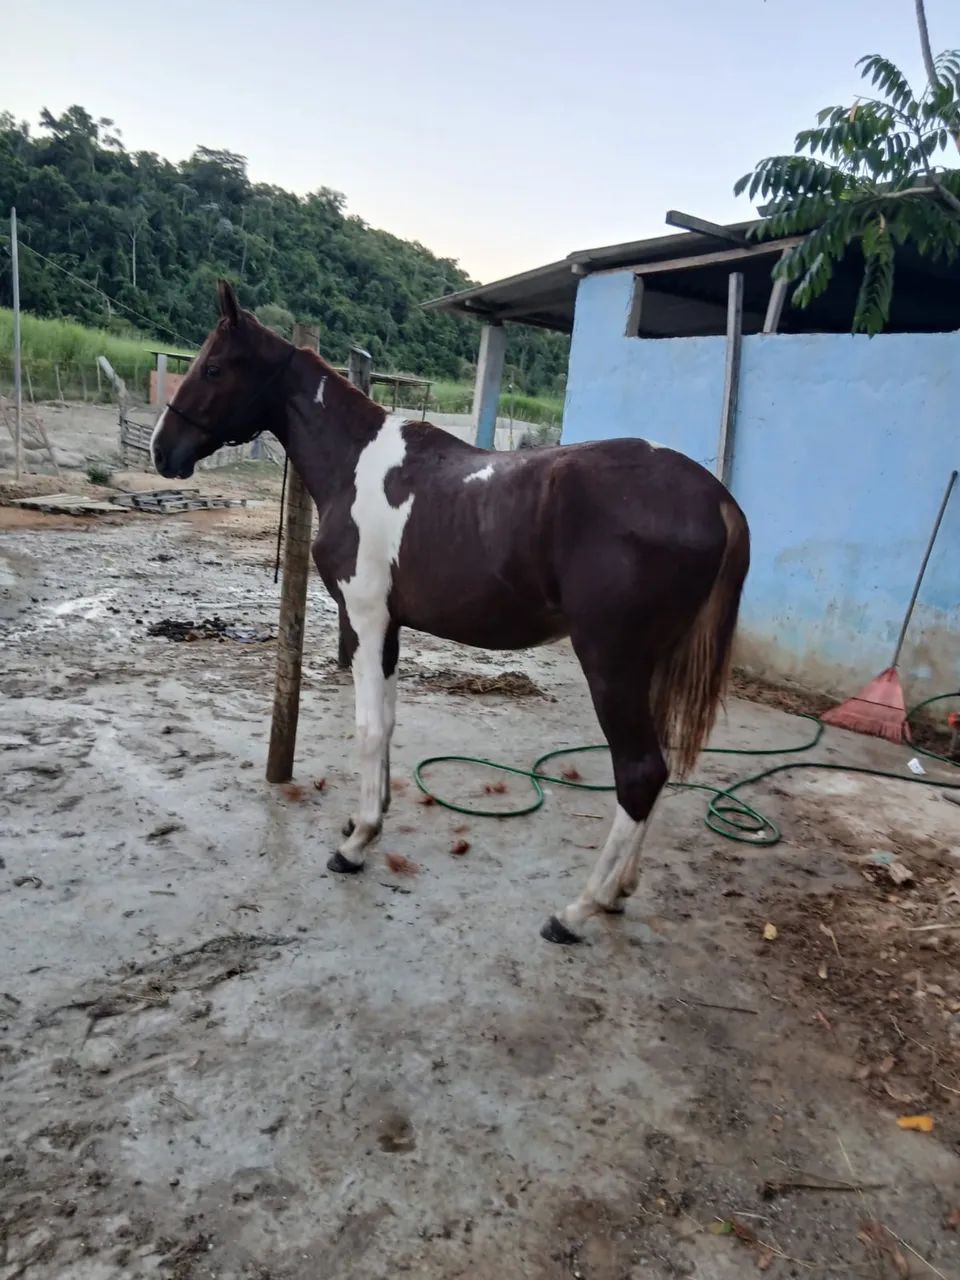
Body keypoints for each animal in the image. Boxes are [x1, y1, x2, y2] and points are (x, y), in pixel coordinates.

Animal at [152, 281, 750, 944]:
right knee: (657, 768)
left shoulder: (366, 620)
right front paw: (368, 822)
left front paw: (356, 845)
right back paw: (621, 890)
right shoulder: (389, 627)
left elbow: (368, 727)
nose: (162, 451)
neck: (356, 465)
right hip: (652, 668)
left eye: (213, 367)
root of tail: (716, 498)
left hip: (612, 664)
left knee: (640, 772)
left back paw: (577, 911)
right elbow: (388, 723)